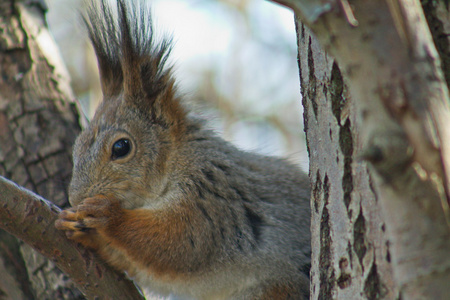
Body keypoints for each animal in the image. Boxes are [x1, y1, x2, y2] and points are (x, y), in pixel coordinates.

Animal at [54, 1, 312, 298]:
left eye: (121, 147)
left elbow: (180, 242)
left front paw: (108, 215)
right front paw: (79, 229)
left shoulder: (211, 196)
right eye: (77, 146)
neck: (176, 161)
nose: (76, 198)